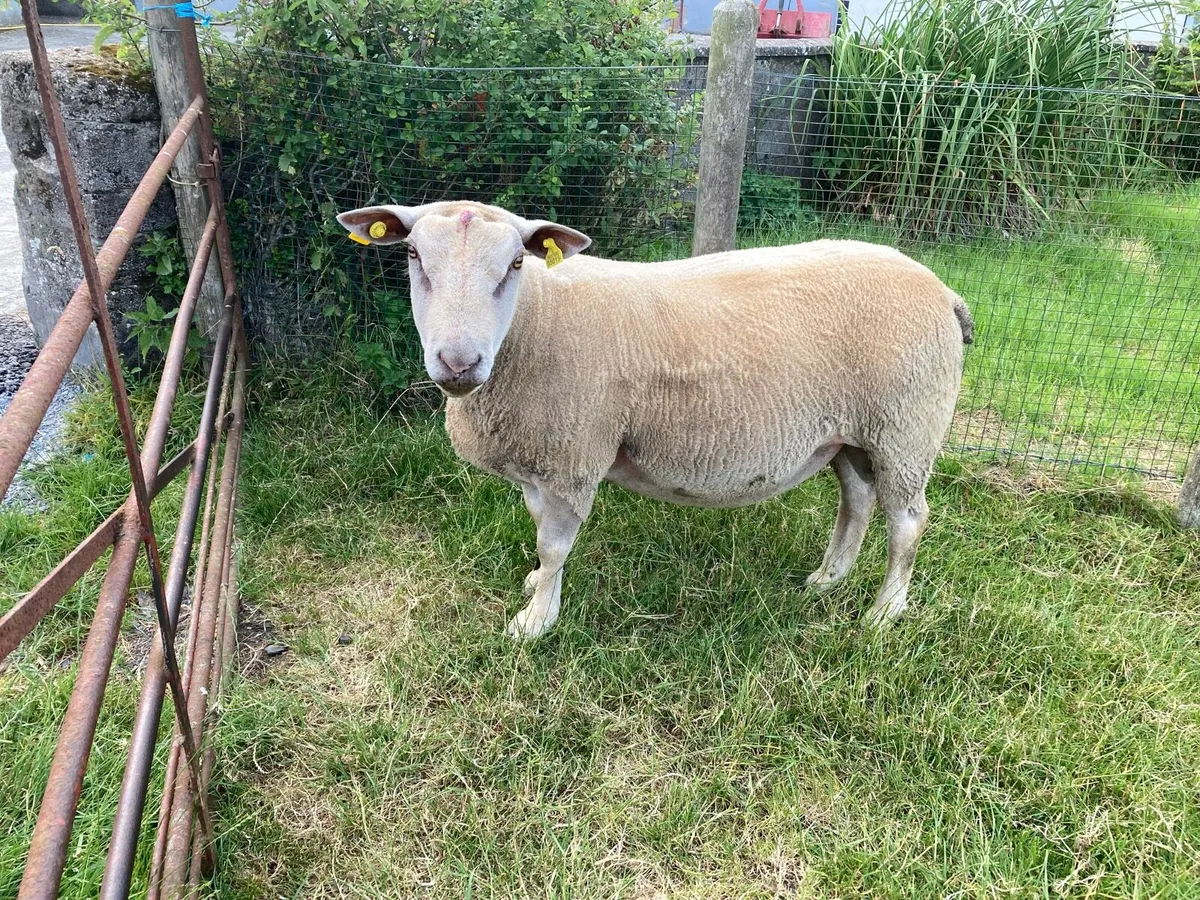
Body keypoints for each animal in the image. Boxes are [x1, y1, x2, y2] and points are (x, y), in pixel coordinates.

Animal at [337, 200, 974, 640]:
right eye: (413, 256)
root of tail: (943, 290)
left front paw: (535, 622)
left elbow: (553, 545)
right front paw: (538, 588)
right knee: (858, 501)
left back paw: (884, 612)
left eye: (516, 262)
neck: (534, 323)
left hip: (906, 427)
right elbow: (541, 535)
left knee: (907, 521)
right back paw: (828, 579)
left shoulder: (573, 458)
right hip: (852, 433)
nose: (458, 362)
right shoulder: (543, 460)